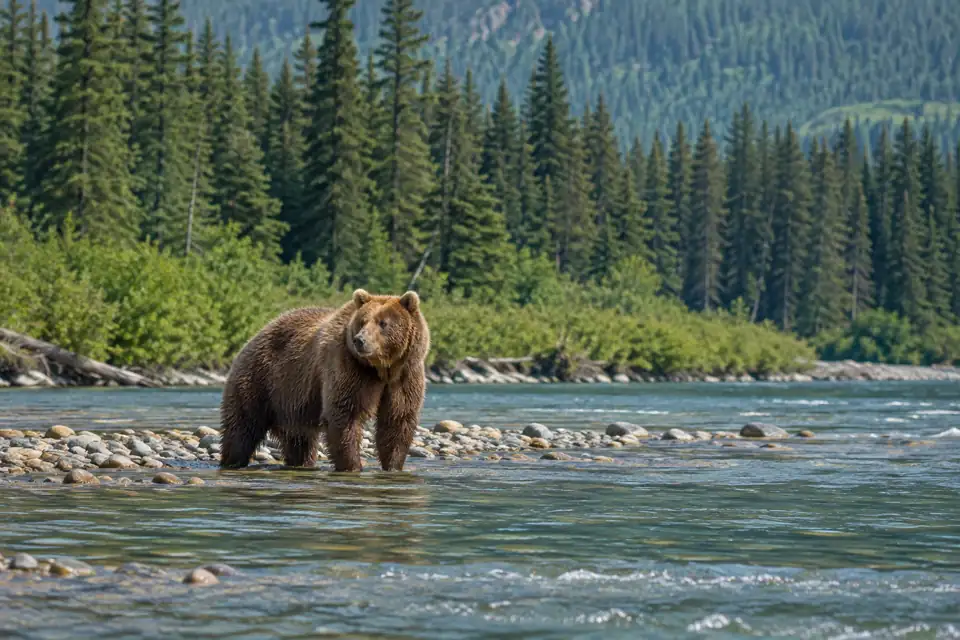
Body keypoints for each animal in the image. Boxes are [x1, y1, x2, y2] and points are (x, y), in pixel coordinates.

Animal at [218, 288, 430, 472]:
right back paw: (232, 460)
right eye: (362, 321)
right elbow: (345, 414)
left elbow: (397, 419)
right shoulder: (348, 367)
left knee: (300, 441)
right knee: (242, 426)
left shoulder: (405, 375)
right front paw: (352, 466)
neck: (381, 369)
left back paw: (300, 463)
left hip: (291, 402)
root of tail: (255, 336)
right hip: (259, 380)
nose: (359, 340)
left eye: (383, 323)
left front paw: (393, 466)